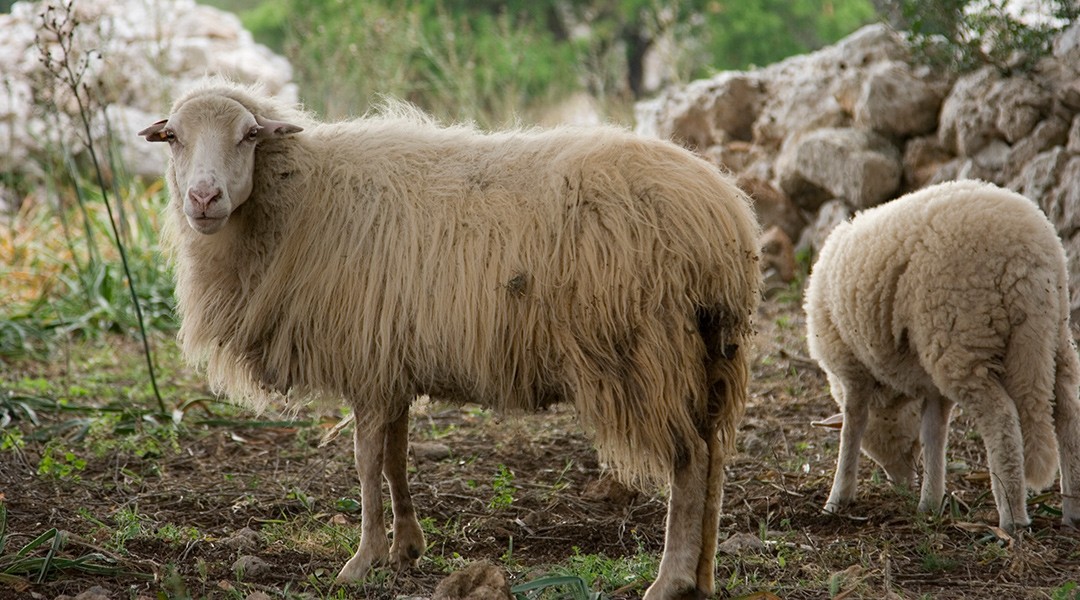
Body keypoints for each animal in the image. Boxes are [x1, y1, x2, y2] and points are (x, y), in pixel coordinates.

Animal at [139, 79, 764, 600]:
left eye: (248, 136)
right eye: (172, 138)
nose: (203, 199)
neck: (300, 199)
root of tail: (724, 219)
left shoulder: (368, 359)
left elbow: (366, 462)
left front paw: (362, 561)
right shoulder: (390, 361)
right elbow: (395, 458)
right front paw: (405, 549)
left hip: (647, 355)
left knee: (689, 462)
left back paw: (669, 580)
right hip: (711, 353)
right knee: (715, 458)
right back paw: (704, 577)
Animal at [807, 179, 1080, 535]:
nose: (902, 484)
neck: (893, 397)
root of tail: (1026, 259)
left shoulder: (852, 368)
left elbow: (852, 427)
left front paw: (837, 499)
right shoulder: (932, 386)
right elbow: (933, 433)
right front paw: (930, 502)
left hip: (962, 338)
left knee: (1002, 419)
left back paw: (1012, 519)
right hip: (1054, 332)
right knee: (1067, 411)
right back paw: (1073, 511)